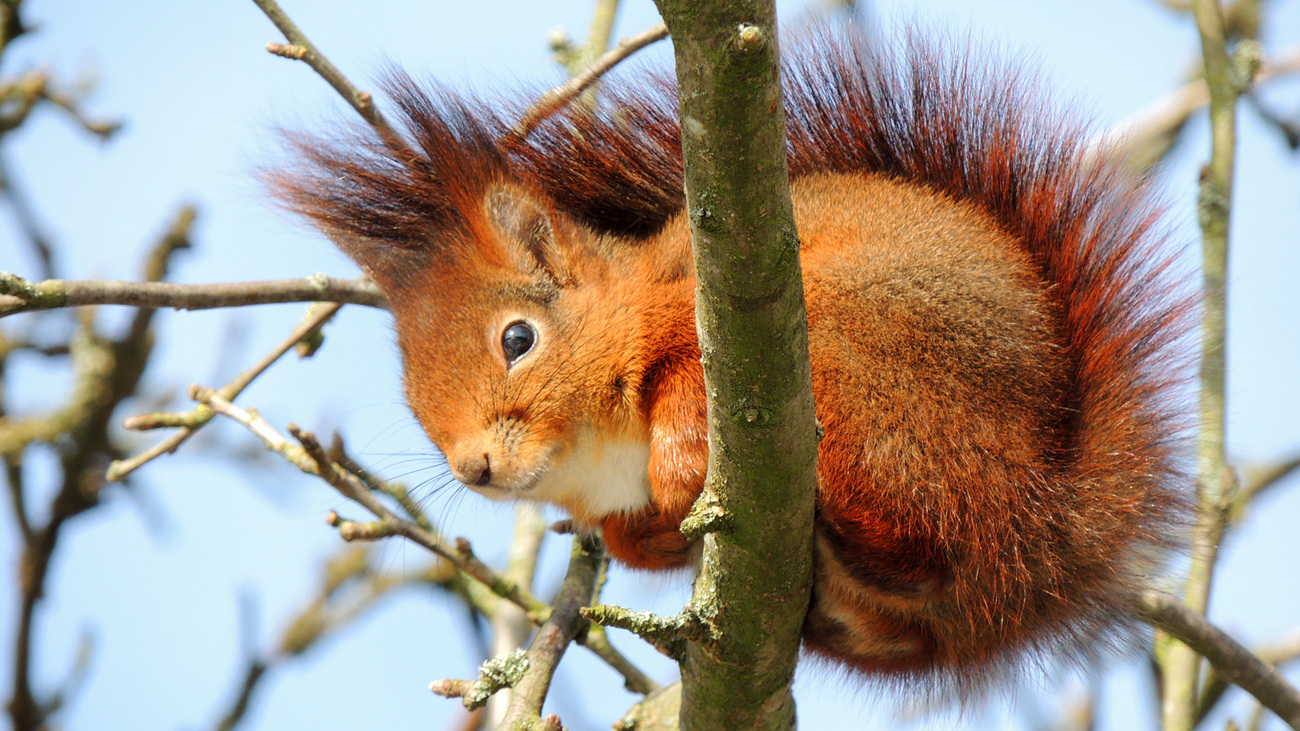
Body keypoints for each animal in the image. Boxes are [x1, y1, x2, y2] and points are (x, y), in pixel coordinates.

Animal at [271, 31, 1190, 681]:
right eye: (413, 398)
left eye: (517, 339)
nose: (475, 468)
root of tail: (1043, 519)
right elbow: (626, 537)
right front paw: (645, 539)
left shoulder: (690, 324)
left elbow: (684, 381)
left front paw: (682, 466)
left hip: (865, 355)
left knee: (912, 521)